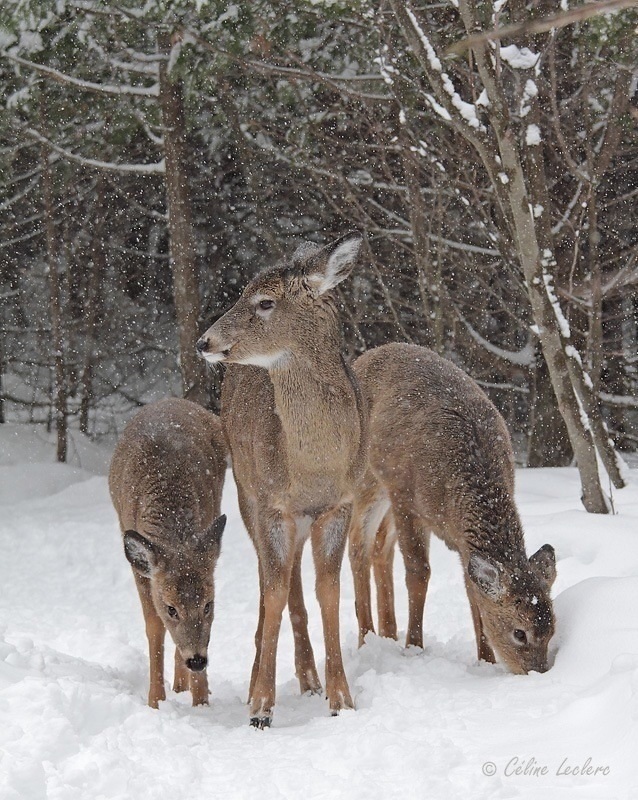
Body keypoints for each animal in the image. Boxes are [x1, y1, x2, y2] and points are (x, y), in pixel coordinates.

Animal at [109, 398, 228, 708]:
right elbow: (154, 628)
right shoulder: (141, 571)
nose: (197, 660)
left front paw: (201, 702)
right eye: (171, 608)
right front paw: (155, 702)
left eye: (208, 604)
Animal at [195, 230, 368, 724]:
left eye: (266, 302)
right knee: (270, 577)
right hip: (246, 493)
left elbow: (328, 590)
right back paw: (268, 675)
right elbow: (272, 593)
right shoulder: (271, 503)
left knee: (290, 575)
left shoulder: (341, 503)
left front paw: (341, 697)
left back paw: (309, 678)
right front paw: (260, 705)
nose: (205, 341)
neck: (313, 467)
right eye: (239, 293)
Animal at [350, 344, 560, 676]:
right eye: (519, 633)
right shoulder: (406, 497)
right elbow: (419, 571)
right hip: (369, 478)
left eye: (552, 629)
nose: (537, 672)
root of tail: (363, 358)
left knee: (380, 548)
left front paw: (485, 661)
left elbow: (473, 592)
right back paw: (366, 638)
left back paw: (387, 634)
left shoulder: (463, 541)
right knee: (358, 544)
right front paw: (414, 648)